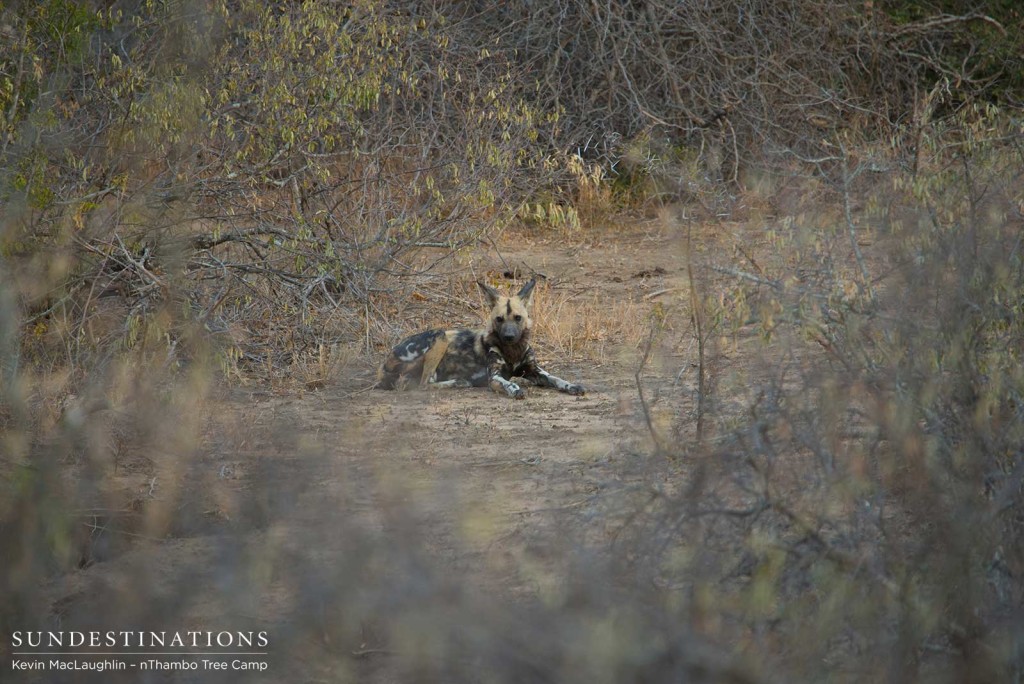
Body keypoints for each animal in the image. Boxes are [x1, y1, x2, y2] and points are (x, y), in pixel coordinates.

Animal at [376, 276, 585, 395]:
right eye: (499, 319)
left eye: (518, 318)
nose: (509, 336)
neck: (513, 351)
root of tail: (385, 361)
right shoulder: (494, 376)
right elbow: (505, 382)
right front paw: (514, 389)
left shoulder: (534, 371)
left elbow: (557, 379)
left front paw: (572, 386)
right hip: (440, 336)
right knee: (424, 384)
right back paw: (459, 382)